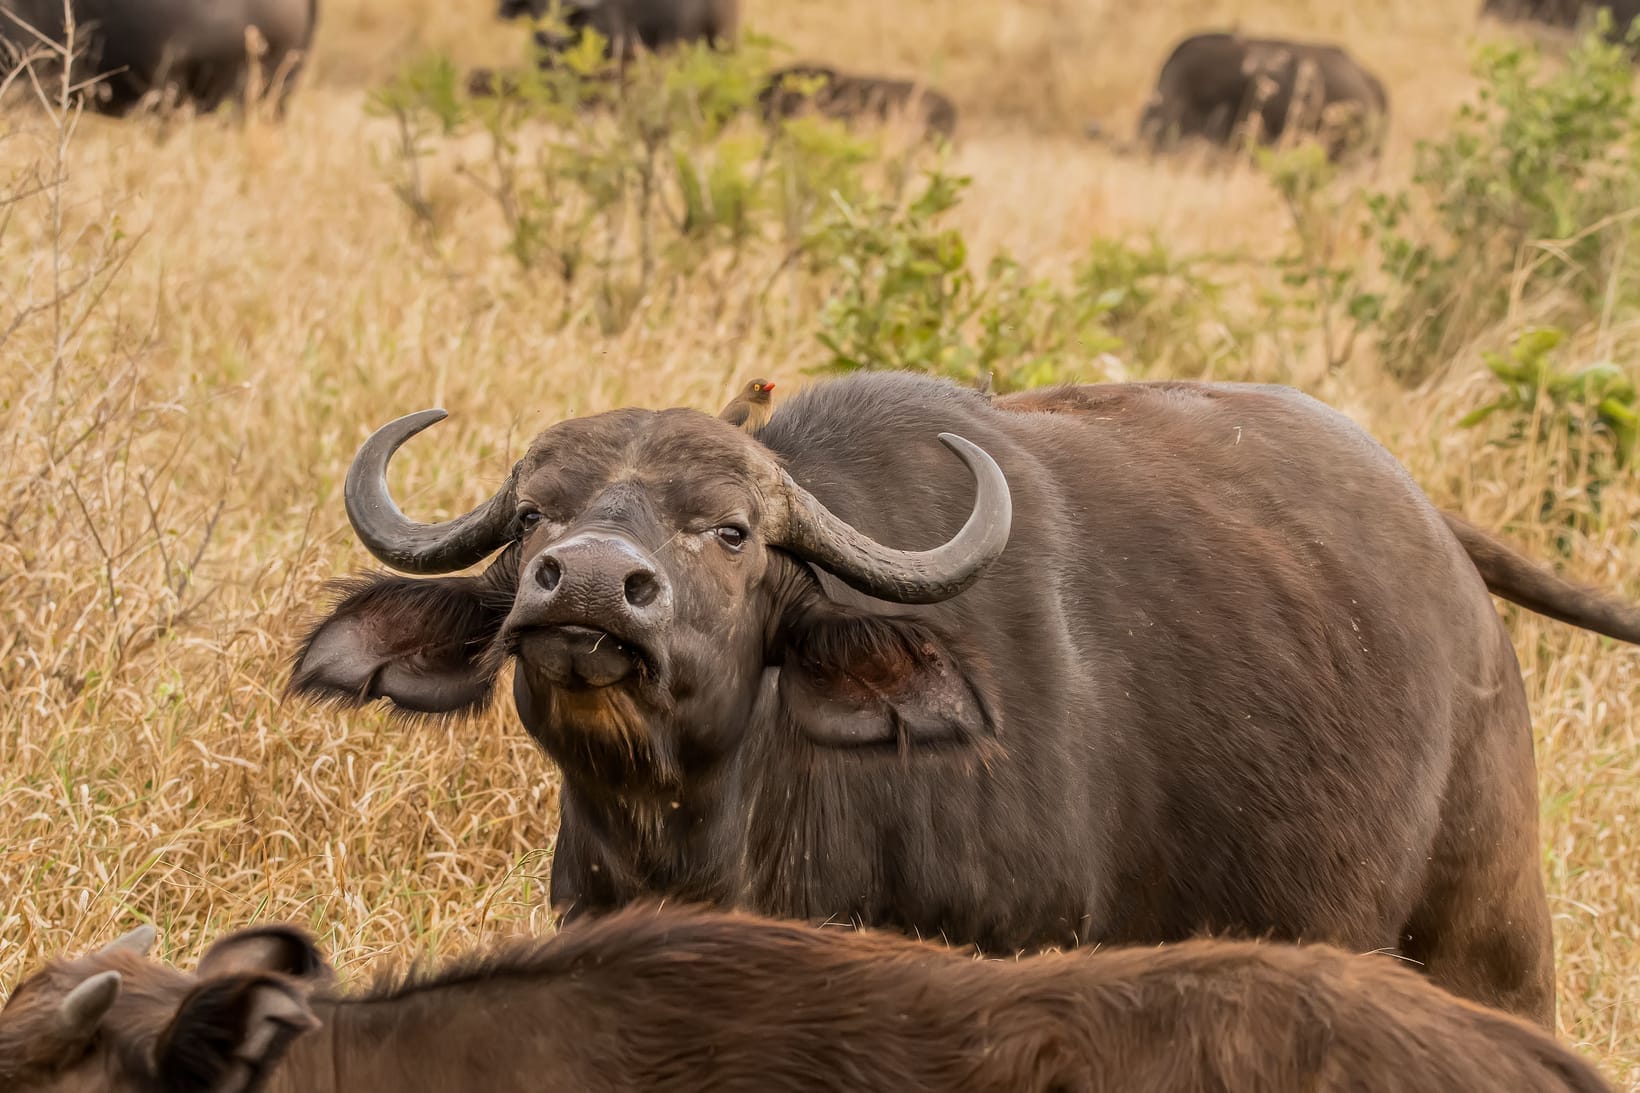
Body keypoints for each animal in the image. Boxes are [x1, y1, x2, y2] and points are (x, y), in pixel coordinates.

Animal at [289, 372, 1640, 1028]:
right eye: (532, 519)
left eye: (730, 531)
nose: (587, 587)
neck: (721, 830)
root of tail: (1443, 548)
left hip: (1489, 935)